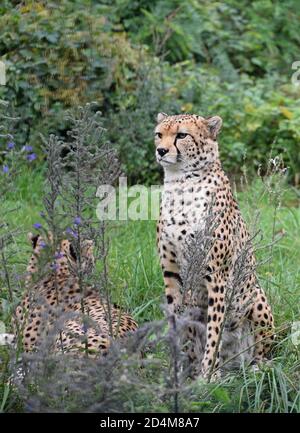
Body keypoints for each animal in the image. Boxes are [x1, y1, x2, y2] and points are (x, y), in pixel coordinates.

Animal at [156, 112, 276, 378]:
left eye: (182, 135)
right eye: (159, 134)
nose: (160, 150)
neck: (181, 183)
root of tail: (236, 364)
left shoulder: (216, 275)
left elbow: (214, 330)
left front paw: (207, 377)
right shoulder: (171, 272)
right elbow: (178, 325)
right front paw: (177, 372)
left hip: (256, 297)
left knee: (264, 353)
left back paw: (254, 368)